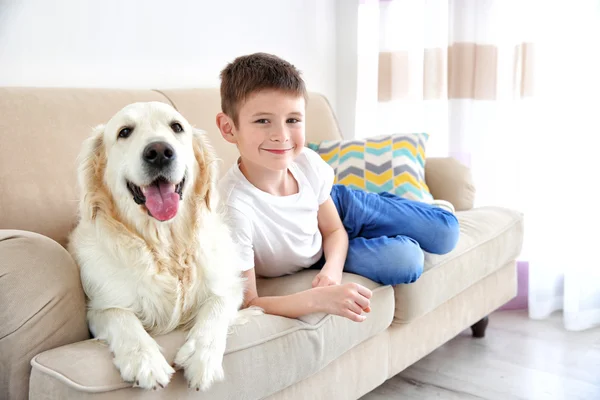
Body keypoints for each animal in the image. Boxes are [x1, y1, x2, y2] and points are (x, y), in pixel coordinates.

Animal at [68, 101, 260, 392]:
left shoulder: (230, 288)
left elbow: (216, 307)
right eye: (124, 132)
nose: (159, 152)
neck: (165, 245)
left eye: (176, 127)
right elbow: (121, 317)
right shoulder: (98, 307)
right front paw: (144, 360)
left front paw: (202, 357)